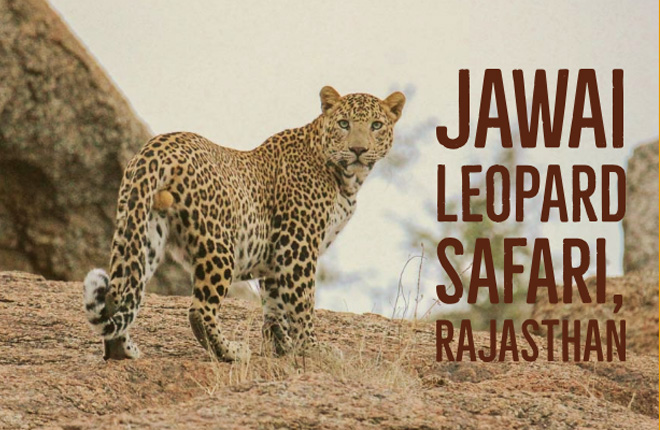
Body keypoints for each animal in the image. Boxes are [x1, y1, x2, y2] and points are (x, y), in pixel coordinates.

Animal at [83, 86, 405, 361]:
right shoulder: (297, 244)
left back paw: (122, 351)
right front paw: (312, 348)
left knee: (119, 293)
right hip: (218, 242)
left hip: (142, 229)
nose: (358, 149)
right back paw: (231, 352)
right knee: (200, 309)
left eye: (376, 125)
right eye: (344, 124)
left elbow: (274, 303)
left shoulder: (277, 255)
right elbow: (302, 301)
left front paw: (281, 346)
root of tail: (157, 147)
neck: (346, 179)